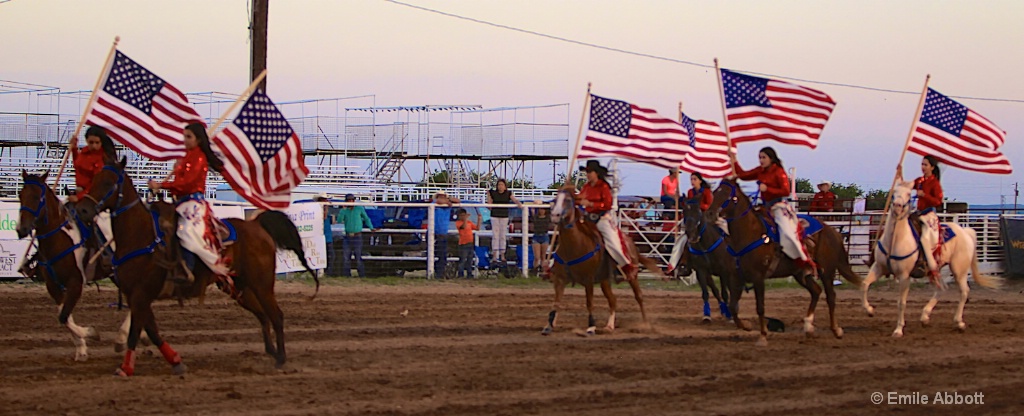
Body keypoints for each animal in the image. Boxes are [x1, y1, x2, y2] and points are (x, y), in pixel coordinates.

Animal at [16, 171, 105, 362]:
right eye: (20, 195)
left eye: (37, 197)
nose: (22, 229)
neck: (58, 239)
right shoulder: (53, 285)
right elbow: (64, 315)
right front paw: (81, 349)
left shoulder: (76, 283)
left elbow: (64, 316)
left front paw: (91, 333)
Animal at [75, 156, 317, 377]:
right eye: (94, 179)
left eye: (108, 182)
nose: (83, 209)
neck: (140, 236)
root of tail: (256, 225)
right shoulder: (136, 296)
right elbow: (152, 330)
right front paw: (176, 361)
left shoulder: (141, 294)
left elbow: (137, 331)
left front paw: (126, 368)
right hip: (240, 287)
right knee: (263, 316)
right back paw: (273, 352)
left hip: (262, 284)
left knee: (276, 315)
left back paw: (281, 358)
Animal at [544, 186, 655, 336]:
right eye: (555, 200)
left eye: (567, 200)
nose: (555, 215)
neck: (575, 245)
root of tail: (630, 242)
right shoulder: (560, 280)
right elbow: (556, 302)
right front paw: (549, 325)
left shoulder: (588, 279)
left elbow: (589, 302)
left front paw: (591, 327)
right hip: (605, 281)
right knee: (613, 300)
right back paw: (609, 326)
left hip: (632, 277)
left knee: (639, 296)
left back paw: (645, 324)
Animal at [712, 178, 864, 344]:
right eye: (716, 191)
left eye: (729, 196)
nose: (711, 211)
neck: (751, 234)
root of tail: (832, 231)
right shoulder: (735, 277)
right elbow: (733, 306)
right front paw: (746, 326)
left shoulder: (758, 277)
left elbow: (760, 307)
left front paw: (763, 336)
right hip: (801, 273)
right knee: (816, 291)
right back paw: (809, 328)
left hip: (827, 271)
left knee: (831, 297)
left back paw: (836, 330)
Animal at [864, 180, 999, 336]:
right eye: (894, 192)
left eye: (909, 194)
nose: (897, 206)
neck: (895, 239)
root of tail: (965, 231)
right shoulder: (879, 267)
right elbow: (865, 284)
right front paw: (870, 310)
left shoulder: (904, 275)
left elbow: (901, 302)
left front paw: (898, 330)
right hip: (934, 269)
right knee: (942, 288)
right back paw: (925, 317)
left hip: (959, 270)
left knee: (964, 291)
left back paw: (959, 322)